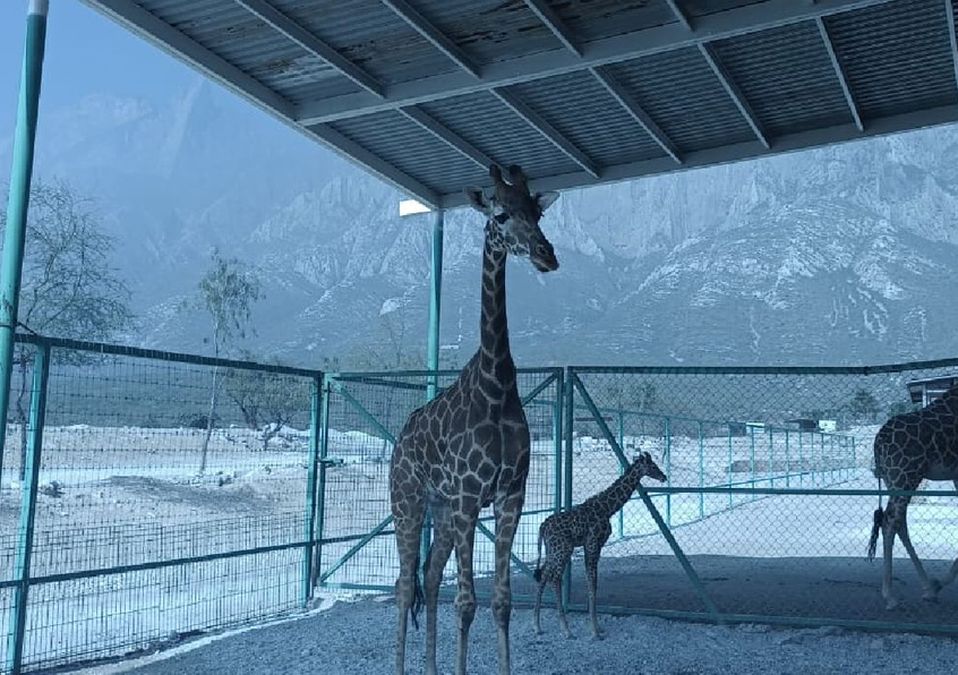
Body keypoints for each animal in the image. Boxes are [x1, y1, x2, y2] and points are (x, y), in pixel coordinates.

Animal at [389, 164, 560, 675]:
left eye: (537, 212)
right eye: (501, 214)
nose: (546, 254)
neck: (497, 383)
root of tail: (399, 440)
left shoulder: (508, 497)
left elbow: (500, 603)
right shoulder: (469, 497)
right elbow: (466, 604)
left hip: (442, 512)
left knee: (428, 576)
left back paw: (429, 668)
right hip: (407, 503)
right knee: (404, 585)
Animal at [533, 451, 666, 639]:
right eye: (653, 466)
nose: (663, 477)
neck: (608, 509)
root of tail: (543, 526)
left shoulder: (595, 546)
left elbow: (594, 583)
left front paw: (598, 627)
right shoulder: (593, 544)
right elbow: (592, 584)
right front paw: (595, 630)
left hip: (552, 549)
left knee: (544, 574)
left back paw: (537, 626)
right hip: (563, 549)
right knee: (555, 577)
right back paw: (566, 630)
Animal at [866, 382, 958, 610]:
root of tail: (878, 441)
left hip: (893, 479)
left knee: (899, 521)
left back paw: (928, 586)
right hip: (905, 476)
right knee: (890, 520)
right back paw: (891, 595)